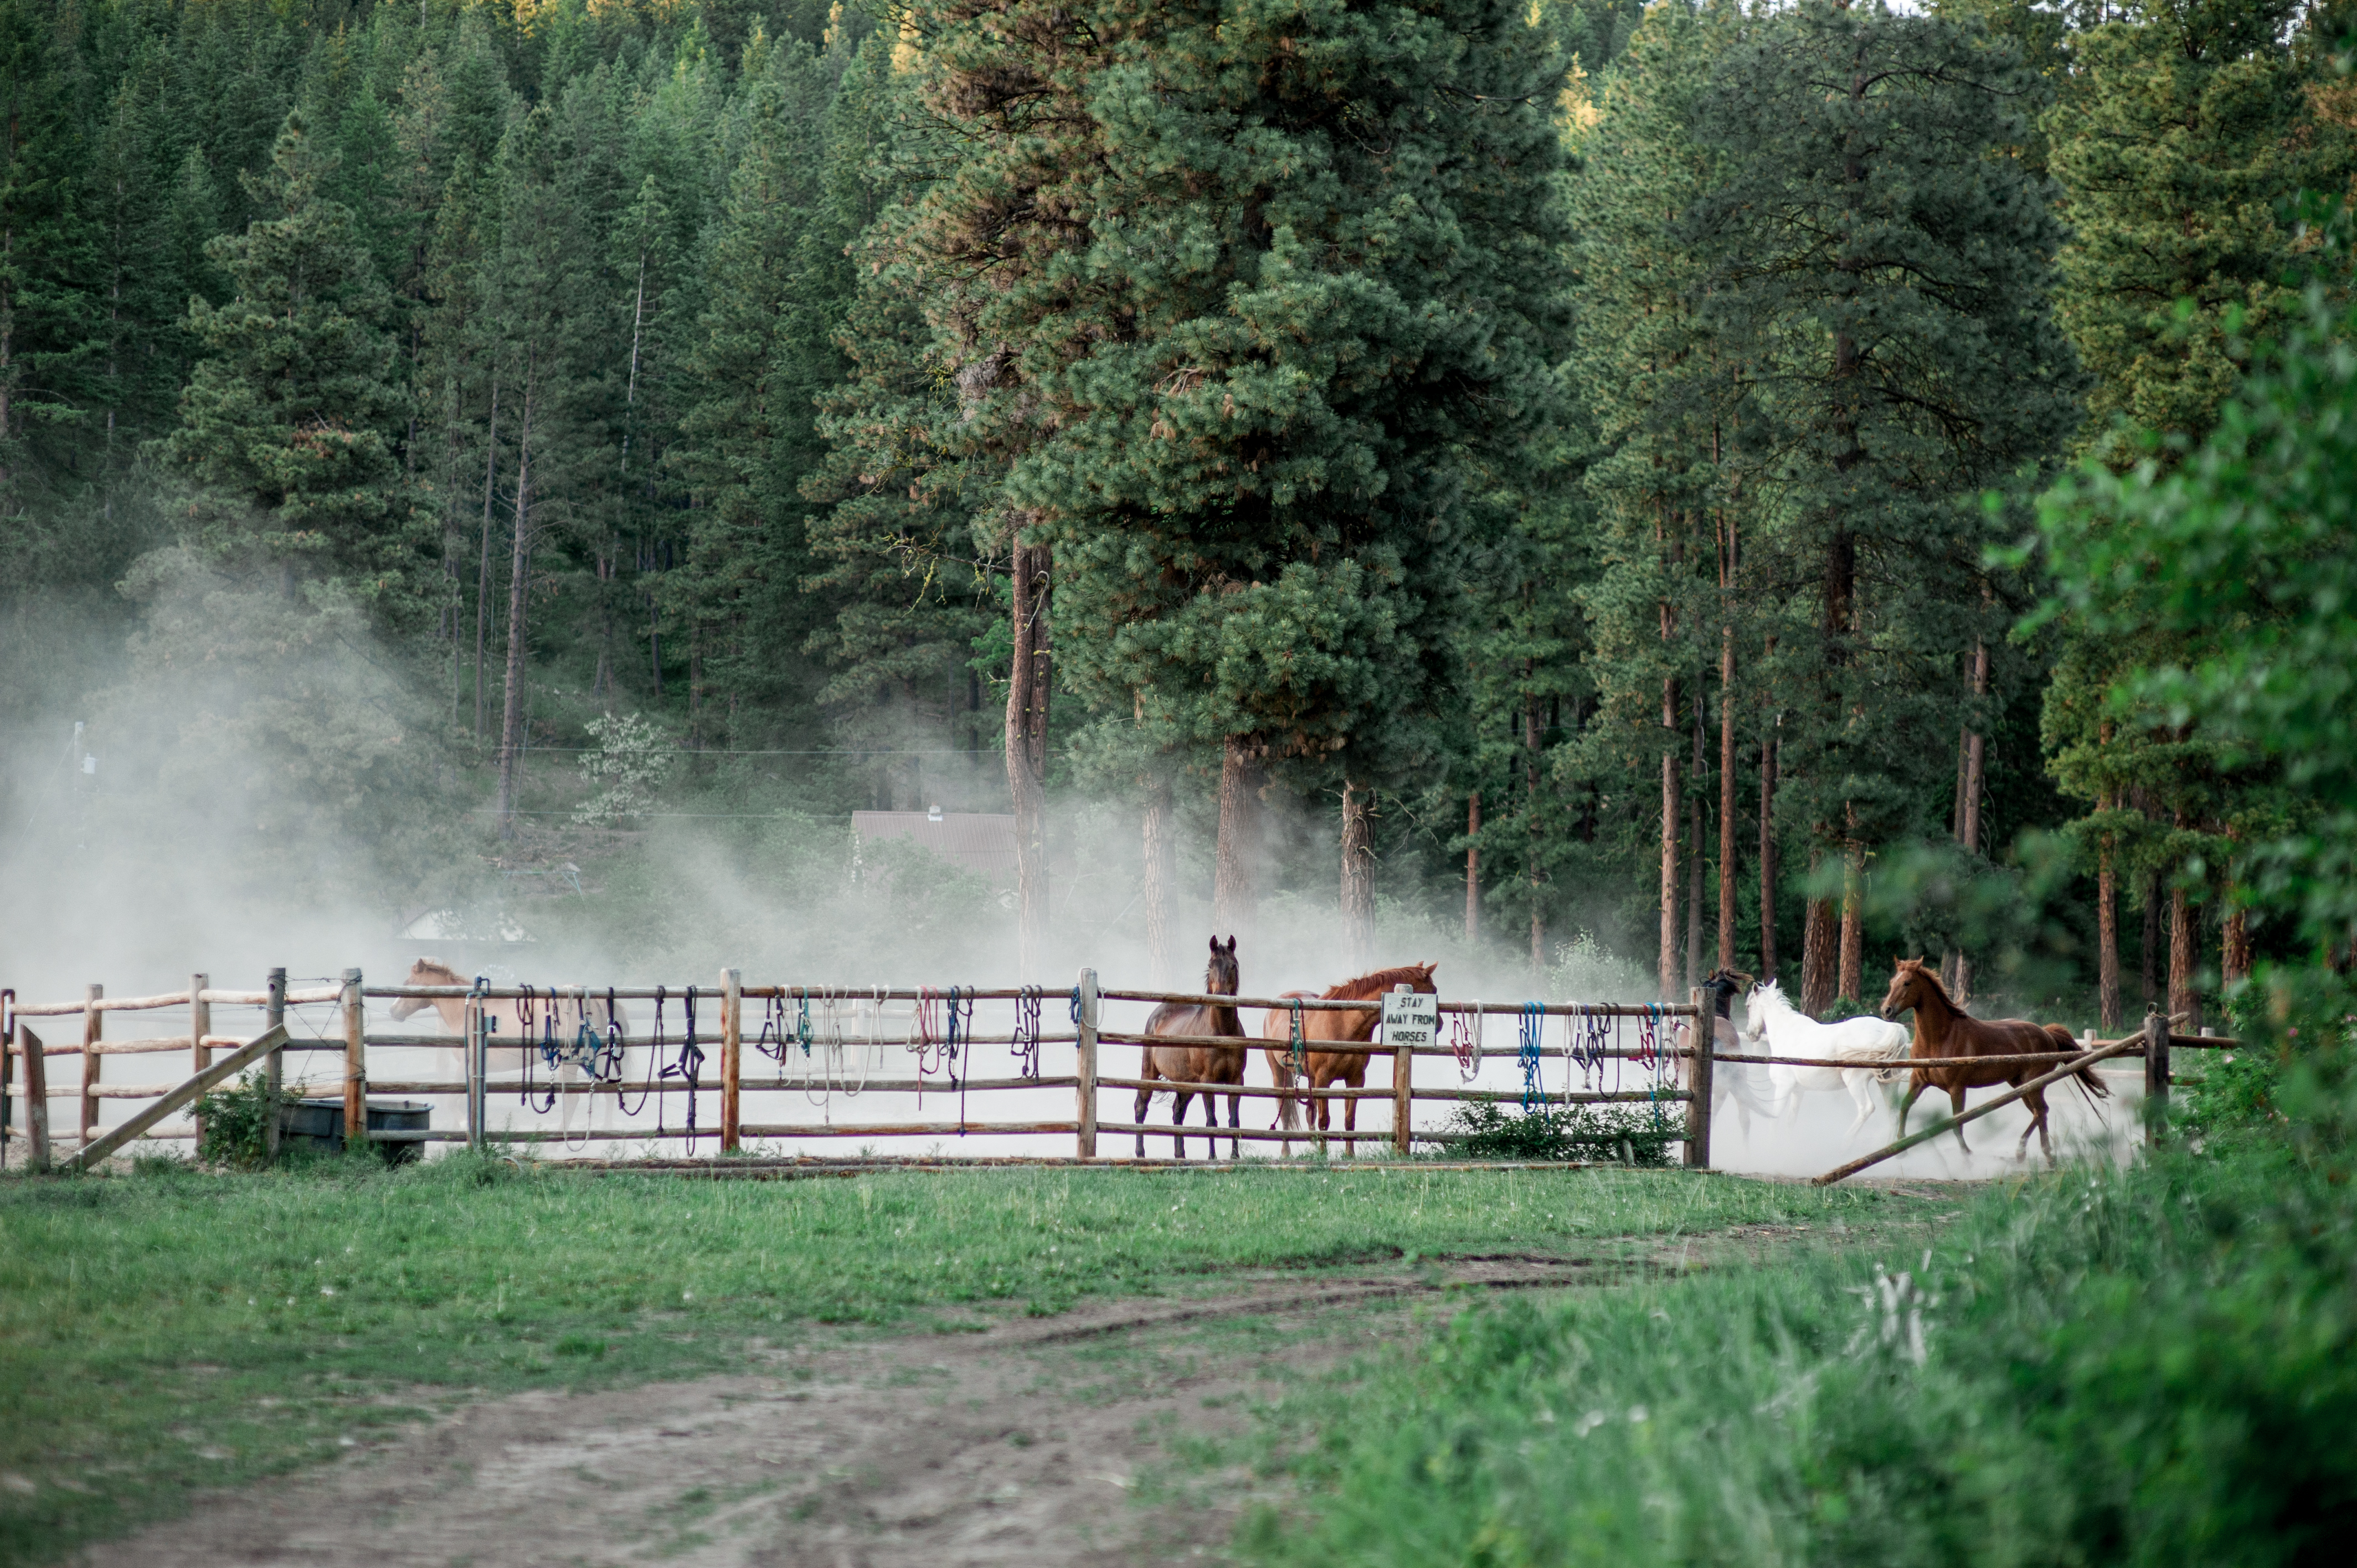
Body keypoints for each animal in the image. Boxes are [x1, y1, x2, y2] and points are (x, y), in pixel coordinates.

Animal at [1136, 933, 1254, 1155]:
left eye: (1234, 965)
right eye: (1210, 965)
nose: (1222, 996)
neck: (1222, 1033)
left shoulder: (1236, 1081)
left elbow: (1234, 1121)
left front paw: (1235, 1157)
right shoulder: (1207, 1081)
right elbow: (1211, 1121)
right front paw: (1212, 1157)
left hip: (1186, 1083)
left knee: (1178, 1112)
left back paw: (1180, 1155)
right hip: (1149, 1072)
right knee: (1141, 1107)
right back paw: (1141, 1154)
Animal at [1254, 952, 1433, 1151]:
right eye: (1433, 992)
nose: (1439, 1024)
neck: (1344, 1024)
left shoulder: (1355, 1080)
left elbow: (1349, 1121)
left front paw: (1349, 1154)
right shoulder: (1323, 1080)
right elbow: (1324, 1121)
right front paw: (1323, 1154)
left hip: (1310, 1078)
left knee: (1310, 1113)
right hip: (1280, 1073)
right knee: (1285, 1113)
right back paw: (1287, 1153)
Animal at [1735, 971, 1913, 1132]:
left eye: (1748, 1006)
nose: (1751, 1034)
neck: (1786, 1031)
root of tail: (1891, 1028)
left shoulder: (1783, 1087)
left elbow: (1774, 1122)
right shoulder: (1798, 1091)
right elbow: (1790, 1123)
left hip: (1856, 1081)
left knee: (1866, 1109)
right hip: (1888, 1081)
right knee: (1893, 1114)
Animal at [1866, 952, 2112, 1160]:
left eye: (1907, 983)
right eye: (1892, 982)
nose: (1887, 1010)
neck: (1940, 1038)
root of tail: (2048, 1034)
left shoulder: (1957, 1088)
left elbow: (1957, 1122)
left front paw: (1967, 1155)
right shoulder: (1919, 1080)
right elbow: (1904, 1107)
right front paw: (1900, 1148)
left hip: (2032, 1084)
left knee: (2041, 1111)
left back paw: (2025, 1151)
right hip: (2020, 1085)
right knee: (2040, 1113)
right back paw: (2045, 1156)